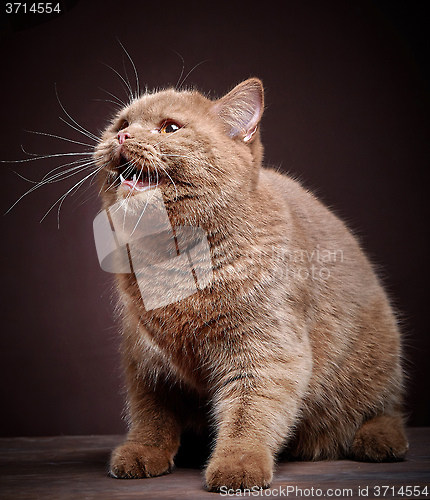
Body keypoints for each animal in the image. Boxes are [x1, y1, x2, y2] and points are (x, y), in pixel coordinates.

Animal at [92, 79, 408, 492]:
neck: (171, 262)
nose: (123, 136)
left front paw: (237, 465)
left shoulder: (265, 351)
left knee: (385, 409)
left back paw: (380, 439)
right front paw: (143, 452)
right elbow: (151, 413)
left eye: (170, 128)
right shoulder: (145, 357)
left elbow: (250, 413)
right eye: (122, 124)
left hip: (377, 359)